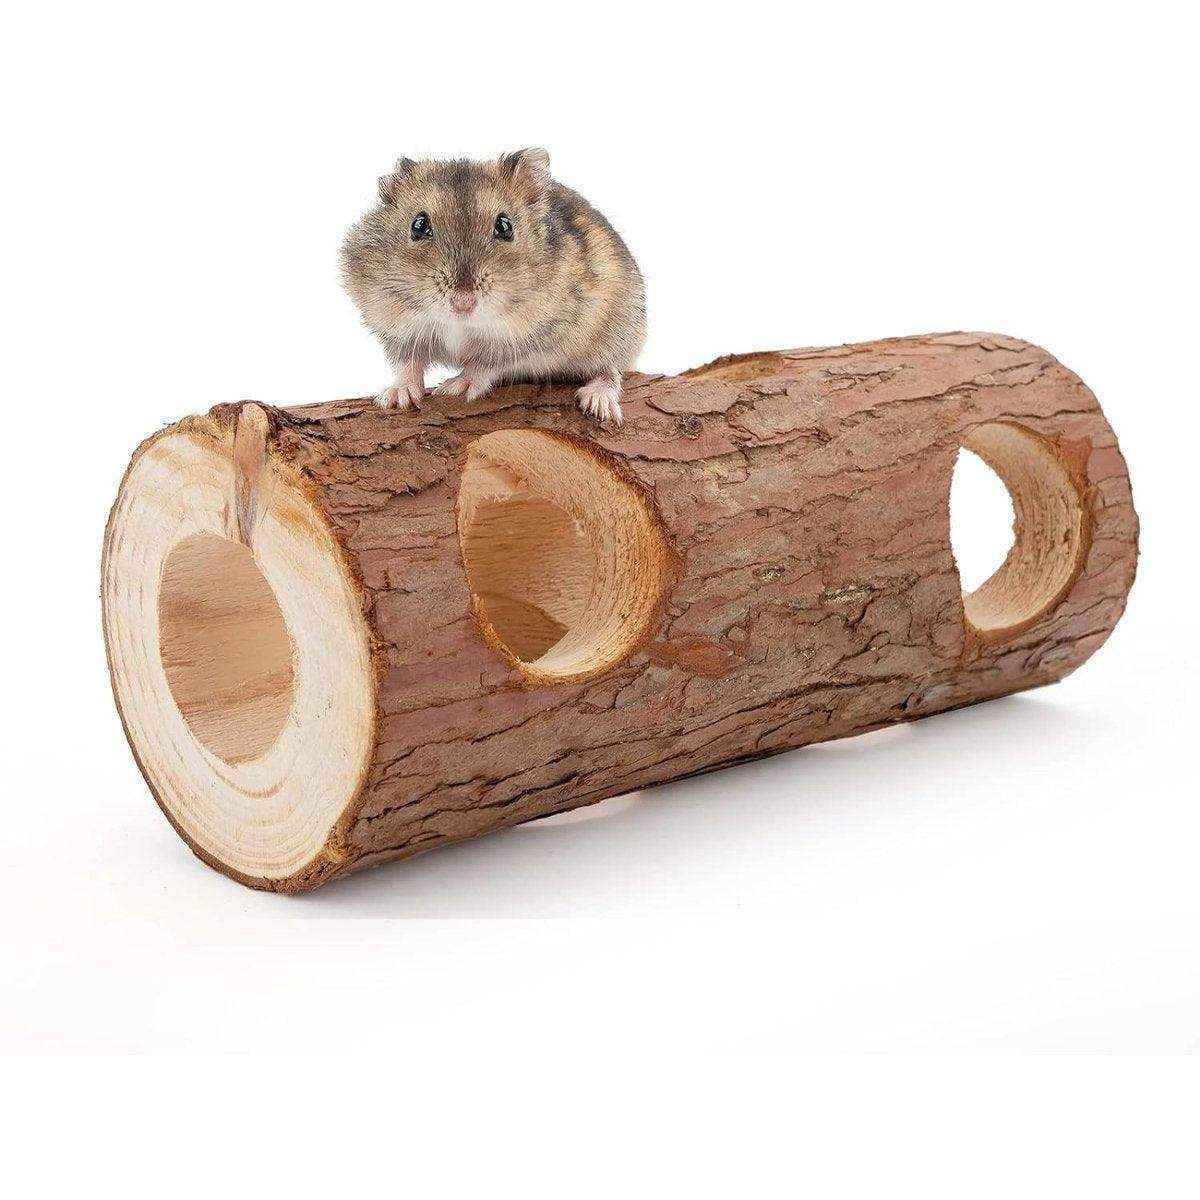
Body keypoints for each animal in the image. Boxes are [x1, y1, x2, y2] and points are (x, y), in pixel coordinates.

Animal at [341, 148, 645, 425]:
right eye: (418, 224)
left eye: (505, 226)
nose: (463, 302)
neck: (460, 324)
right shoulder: (395, 326)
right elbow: (408, 363)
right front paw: (396, 396)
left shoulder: (531, 337)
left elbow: (486, 364)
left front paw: (455, 388)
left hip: (621, 332)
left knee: (611, 370)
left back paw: (600, 402)